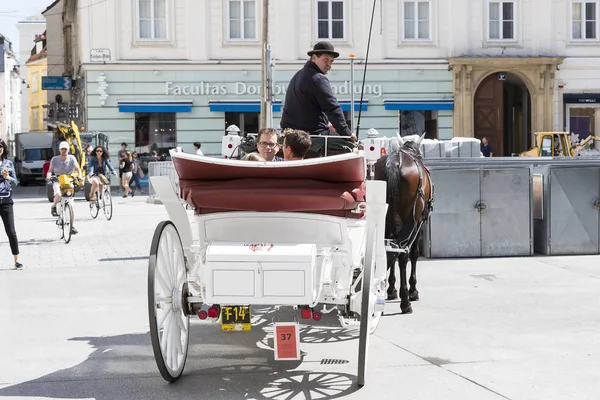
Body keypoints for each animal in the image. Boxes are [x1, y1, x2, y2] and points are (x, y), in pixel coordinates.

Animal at [372, 133, 434, 314]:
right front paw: (412, 291)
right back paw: (406, 300)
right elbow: (413, 253)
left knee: (388, 248)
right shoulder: (419, 222)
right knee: (403, 254)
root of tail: (394, 162)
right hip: (411, 219)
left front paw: (391, 289)